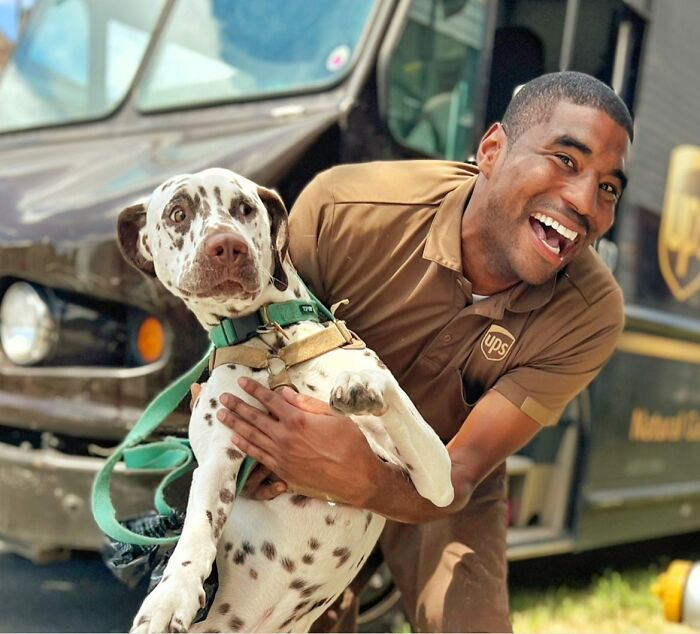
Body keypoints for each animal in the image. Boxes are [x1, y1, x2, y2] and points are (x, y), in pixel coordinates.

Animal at [115, 168, 454, 632]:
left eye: (245, 208)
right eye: (178, 213)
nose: (227, 245)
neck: (272, 340)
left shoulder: (437, 479)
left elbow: (385, 389)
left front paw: (359, 381)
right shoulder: (219, 457)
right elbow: (198, 530)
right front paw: (170, 596)